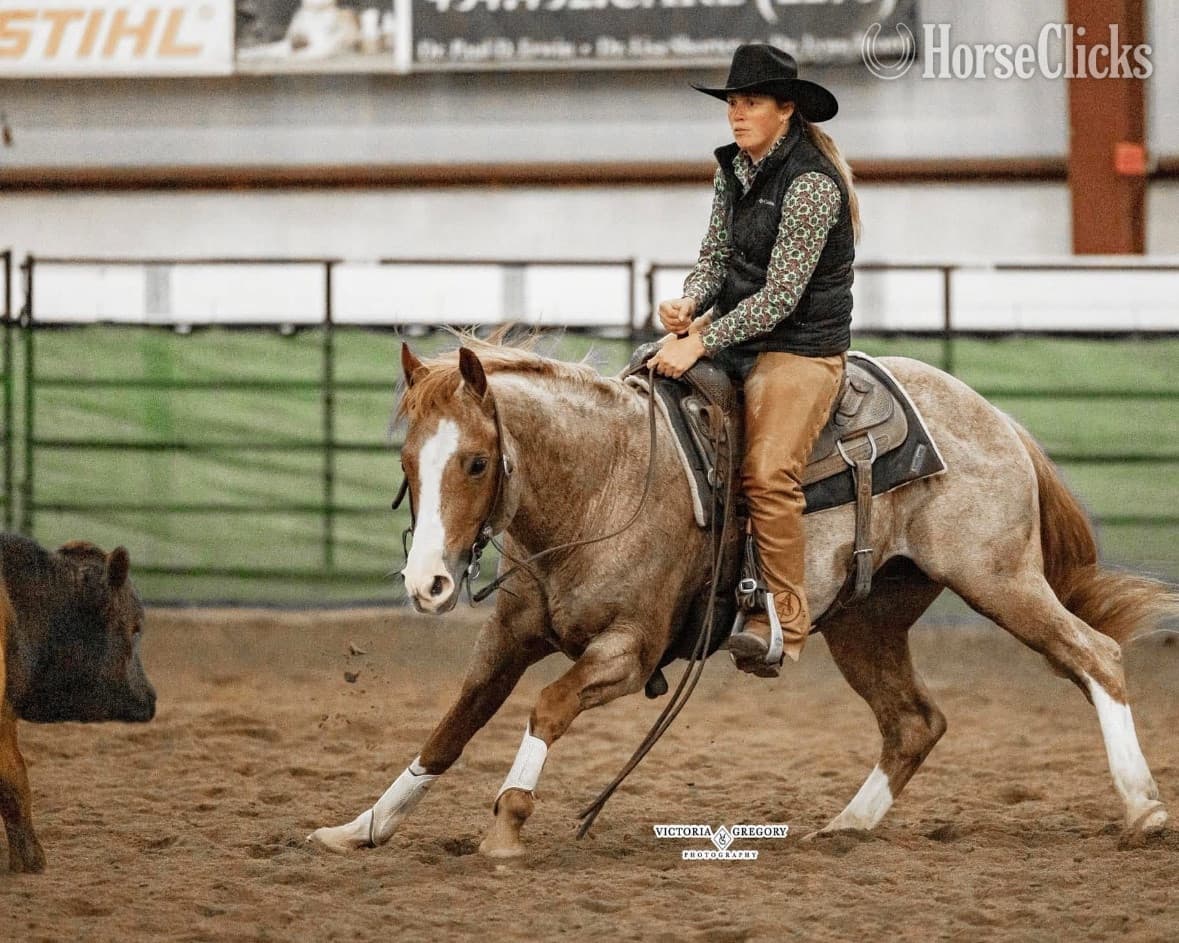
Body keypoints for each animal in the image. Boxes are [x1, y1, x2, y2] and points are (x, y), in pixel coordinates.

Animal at [308, 334, 1176, 858]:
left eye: (477, 462)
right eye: (410, 464)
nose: (427, 583)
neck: (601, 482)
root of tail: (995, 418)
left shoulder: (627, 653)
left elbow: (546, 707)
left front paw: (508, 821)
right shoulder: (510, 638)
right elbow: (450, 729)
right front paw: (360, 825)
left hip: (999, 579)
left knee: (1093, 655)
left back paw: (1141, 807)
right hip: (866, 620)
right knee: (914, 721)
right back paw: (846, 824)